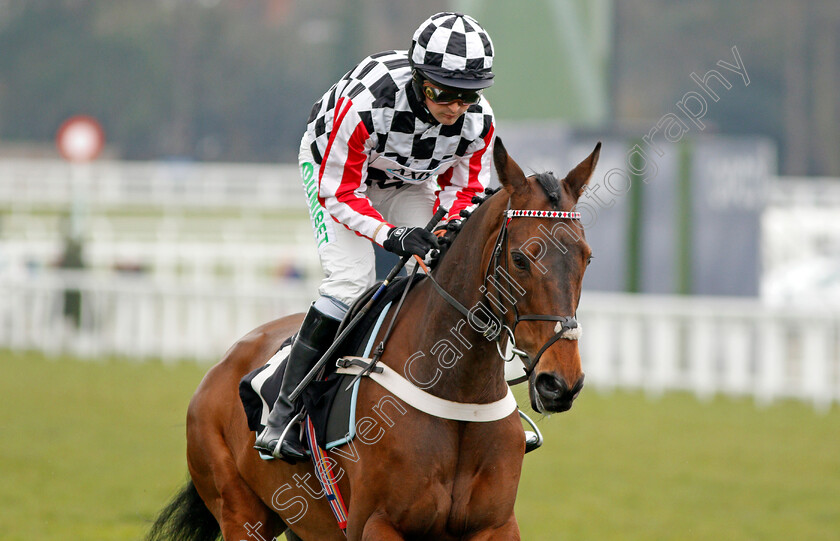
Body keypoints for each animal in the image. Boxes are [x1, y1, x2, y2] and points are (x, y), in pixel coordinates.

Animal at [148, 137, 600, 536]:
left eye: (587, 257)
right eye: (521, 258)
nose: (560, 383)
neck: (458, 391)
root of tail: (223, 363)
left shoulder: (495, 525)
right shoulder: (377, 523)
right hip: (240, 511)